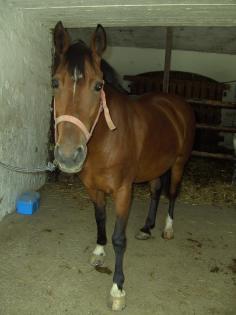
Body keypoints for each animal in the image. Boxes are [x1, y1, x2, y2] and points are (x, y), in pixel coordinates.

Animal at [53, 21, 195, 312]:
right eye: (54, 82)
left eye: (98, 86)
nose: (68, 156)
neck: (106, 138)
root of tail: (177, 104)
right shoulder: (92, 187)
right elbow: (100, 219)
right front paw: (98, 251)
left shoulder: (122, 192)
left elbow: (119, 238)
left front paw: (118, 289)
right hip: (156, 166)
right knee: (155, 192)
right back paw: (146, 228)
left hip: (178, 164)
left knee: (172, 194)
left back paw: (167, 229)